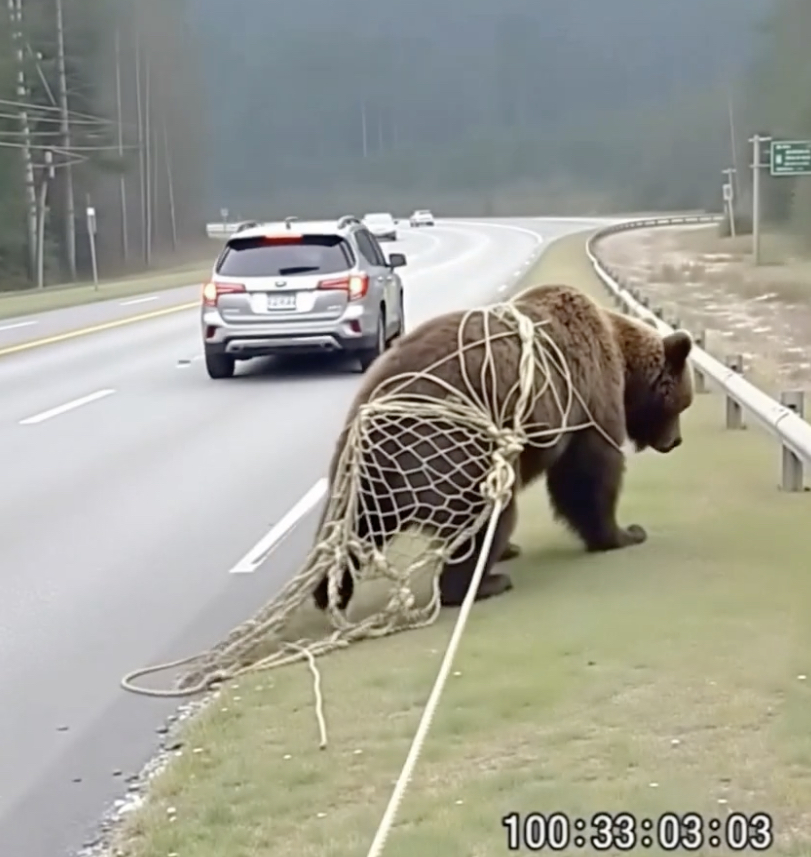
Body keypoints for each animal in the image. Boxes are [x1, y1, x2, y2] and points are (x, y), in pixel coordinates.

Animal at [312, 282, 694, 613]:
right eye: (681, 403)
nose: (675, 441)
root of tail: (378, 407)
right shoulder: (589, 395)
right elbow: (590, 472)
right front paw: (624, 533)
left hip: (366, 470)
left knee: (349, 523)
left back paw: (329, 590)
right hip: (452, 449)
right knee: (488, 515)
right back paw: (483, 583)